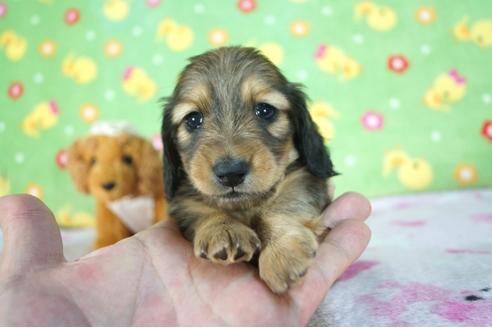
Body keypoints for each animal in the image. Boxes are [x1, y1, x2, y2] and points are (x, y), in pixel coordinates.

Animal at [163, 45, 336, 292]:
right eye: (193, 119)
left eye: (265, 110)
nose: (231, 173)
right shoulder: (184, 201)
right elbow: (201, 209)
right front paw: (223, 229)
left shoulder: (302, 179)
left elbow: (281, 205)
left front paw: (281, 252)